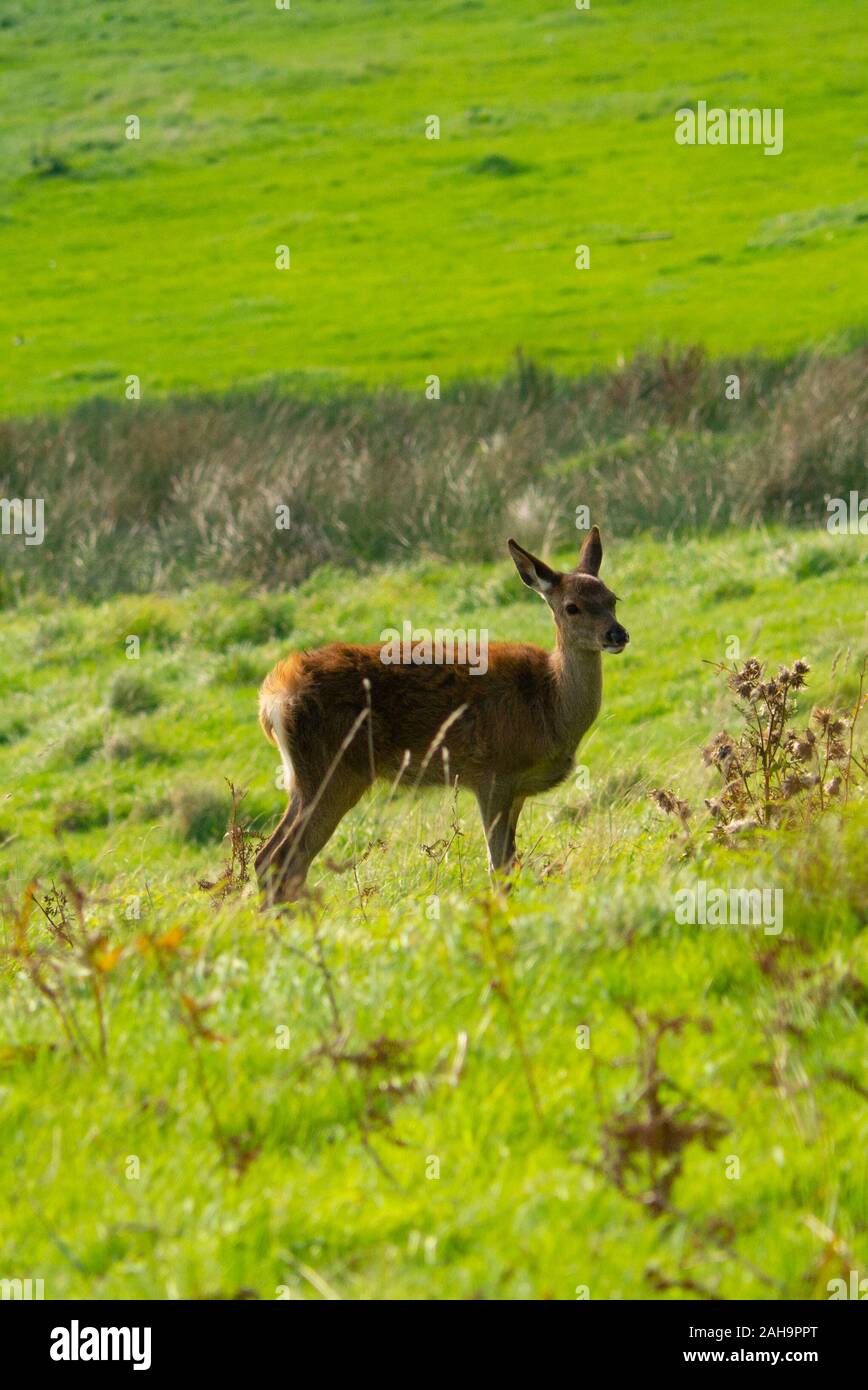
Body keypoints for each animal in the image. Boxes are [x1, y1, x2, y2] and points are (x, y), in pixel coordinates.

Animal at [255, 527, 628, 903]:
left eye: (612, 598)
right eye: (572, 607)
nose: (617, 633)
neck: (549, 705)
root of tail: (271, 699)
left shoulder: (517, 789)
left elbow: (511, 863)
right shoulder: (493, 774)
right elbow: (499, 866)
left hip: (304, 779)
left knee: (271, 858)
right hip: (334, 772)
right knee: (282, 859)